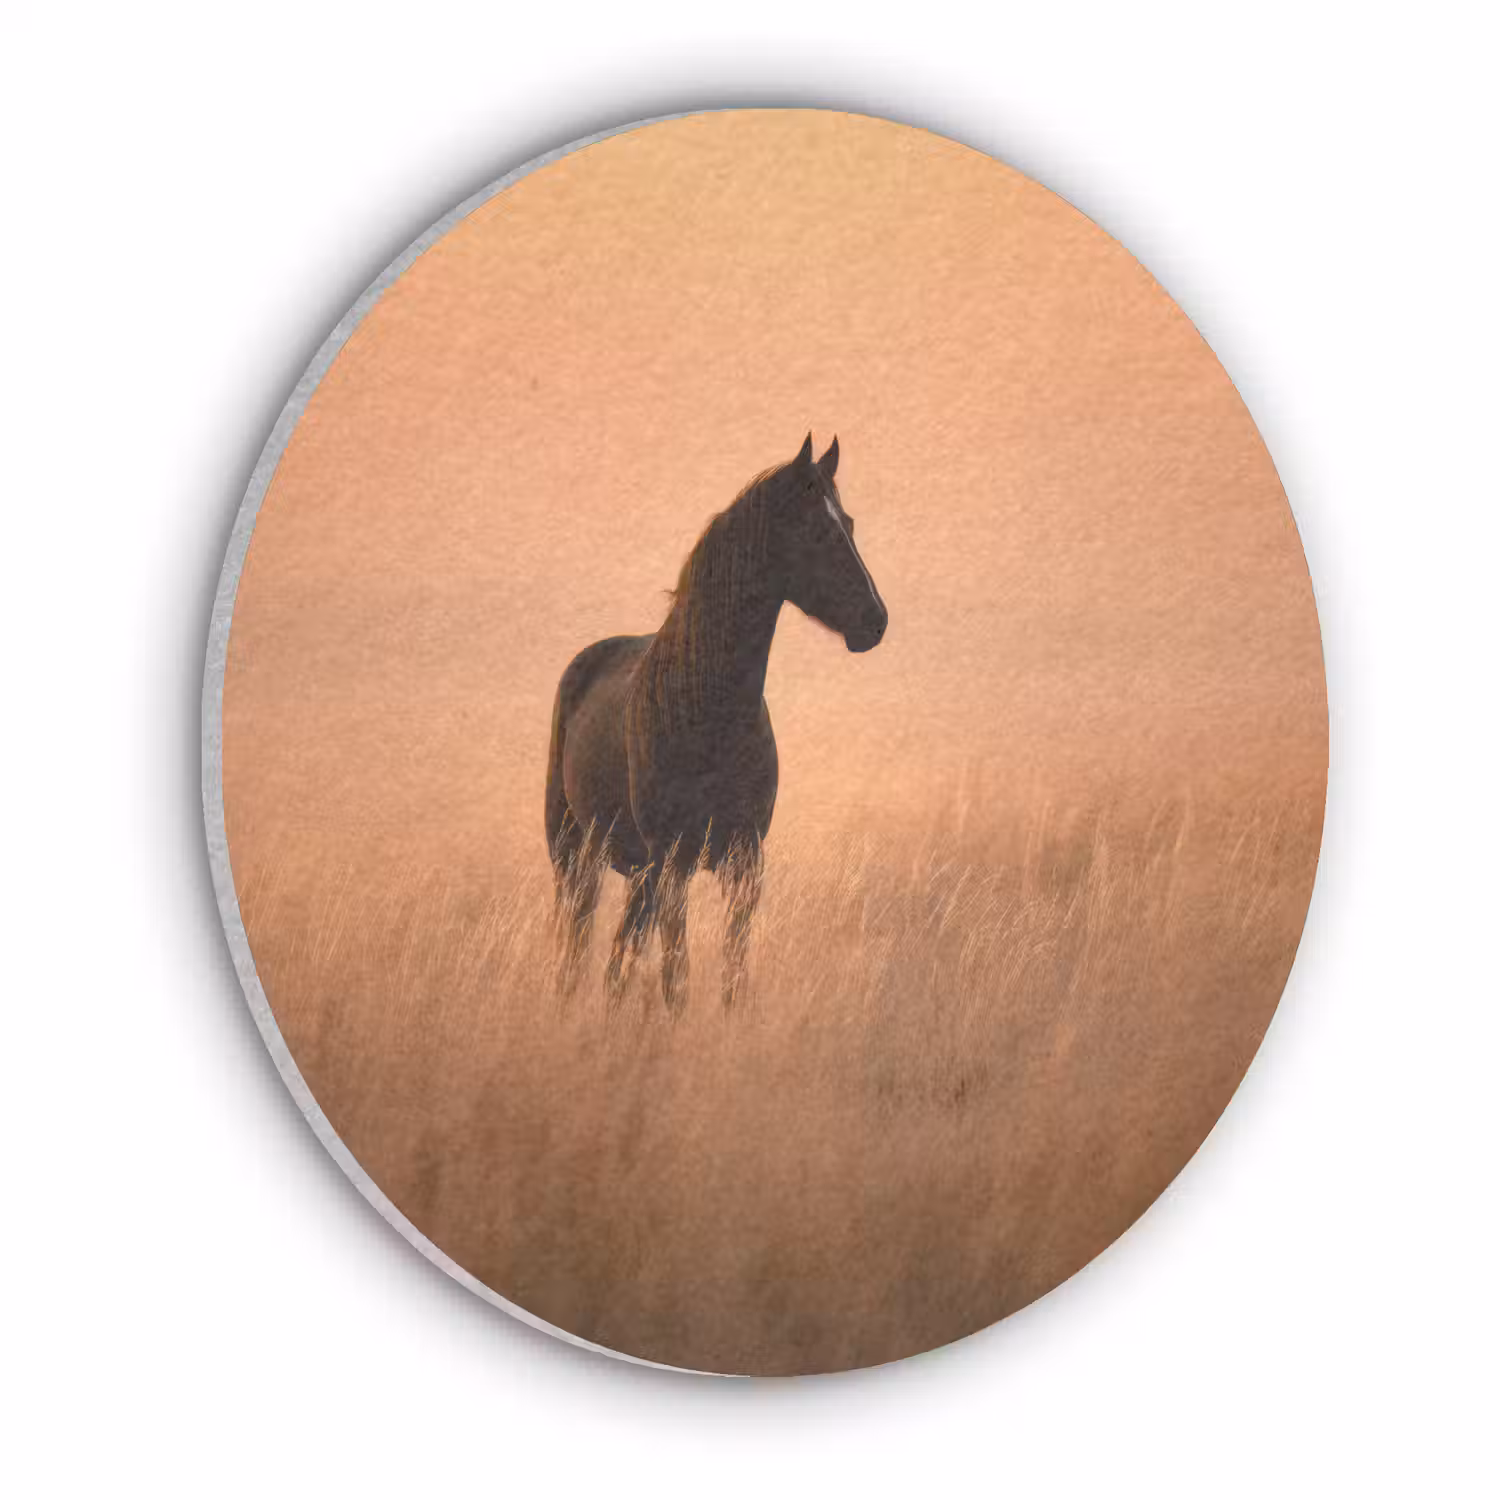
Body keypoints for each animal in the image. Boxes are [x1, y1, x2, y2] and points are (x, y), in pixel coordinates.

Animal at [543, 432, 888, 1013]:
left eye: (850, 522)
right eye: (816, 529)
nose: (875, 620)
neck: (707, 712)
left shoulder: (743, 862)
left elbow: (732, 976)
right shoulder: (673, 863)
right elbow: (676, 979)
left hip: (637, 873)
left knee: (617, 959)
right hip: (579, 854)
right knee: (579, 949)